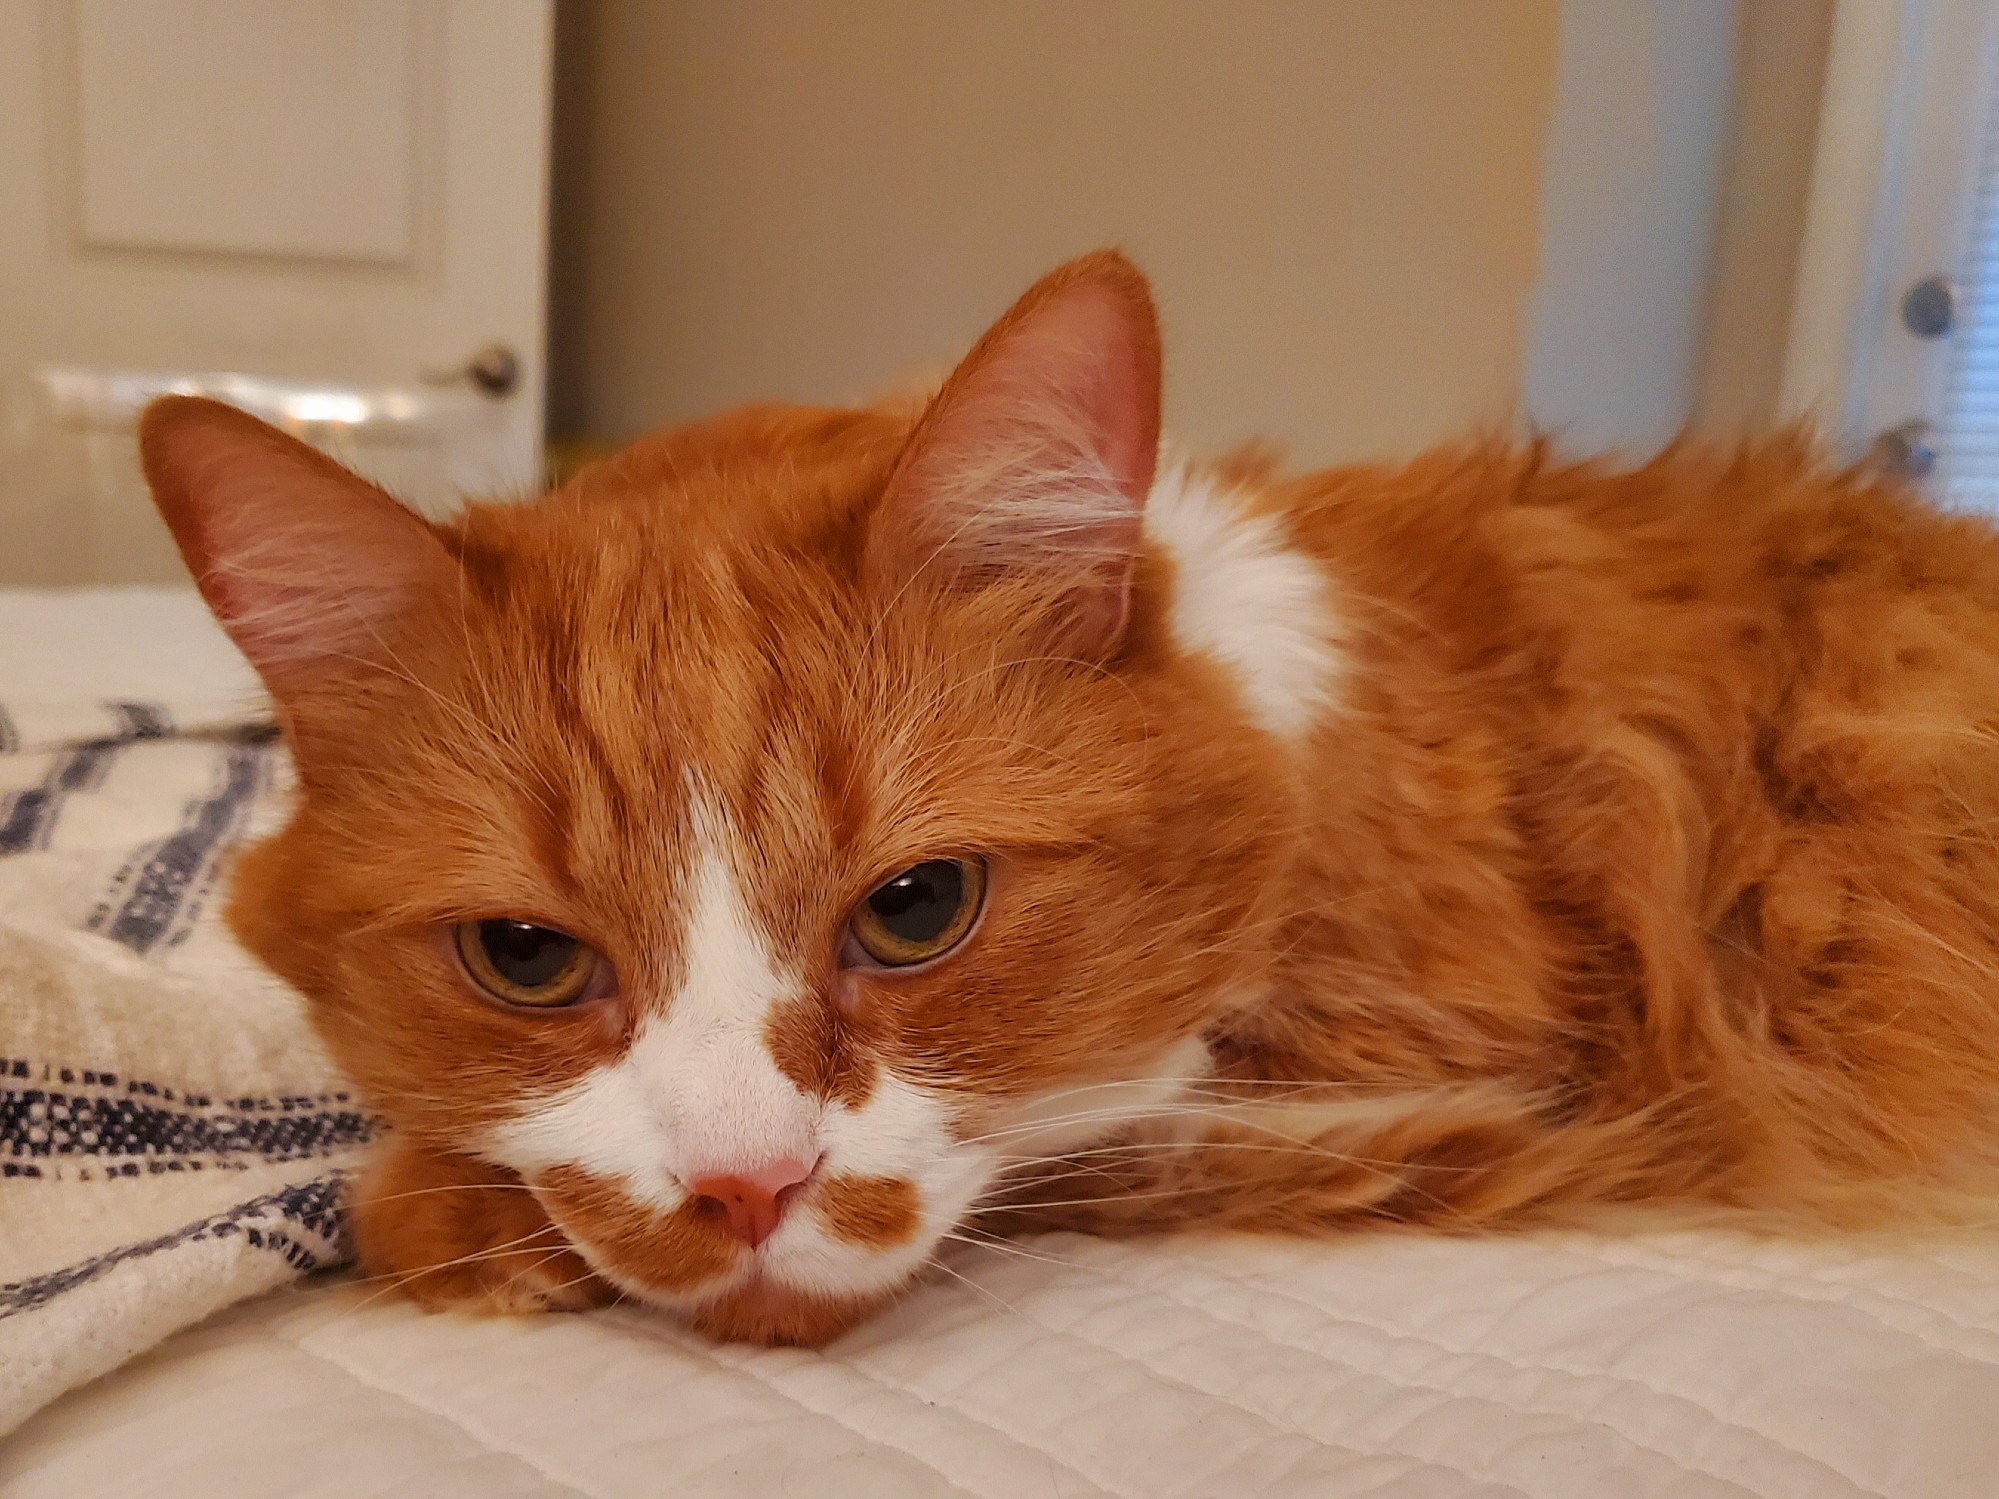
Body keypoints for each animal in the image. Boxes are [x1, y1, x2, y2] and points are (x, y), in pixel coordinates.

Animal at [140, 249, 1999, 1351]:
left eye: (916, 909)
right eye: (525, 956)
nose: (742, 1190)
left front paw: (446, 1216)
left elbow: (1084, 1130)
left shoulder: (1487, 1079)